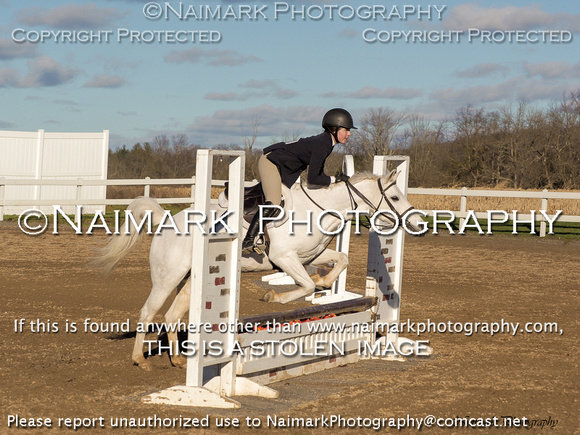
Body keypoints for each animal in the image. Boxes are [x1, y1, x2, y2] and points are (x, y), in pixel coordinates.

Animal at [93, 171, 424, 372]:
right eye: (395, 198)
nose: (418, 224)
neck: (318, 210)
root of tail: (166, 219)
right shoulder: (284, 258)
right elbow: (303, 286)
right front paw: (272, 297)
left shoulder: (311, 255)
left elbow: (338, 261)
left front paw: (324, 282)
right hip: (167, 277)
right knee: (149, 312)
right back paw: (140, 359)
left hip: (189, 280)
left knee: (172, 315)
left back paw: (177, 359)